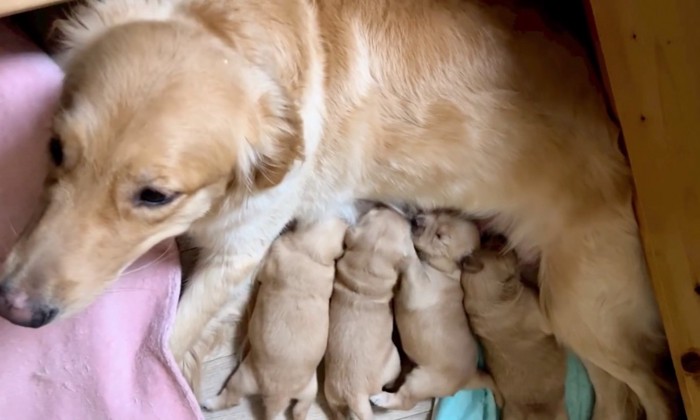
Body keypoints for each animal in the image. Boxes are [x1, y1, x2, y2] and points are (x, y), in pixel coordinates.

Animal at [200, 218, 348, 418]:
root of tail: (279, 397)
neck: (311, 253)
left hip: (242, 378)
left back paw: (209, 403)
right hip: (309, 390)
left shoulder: (274, 256)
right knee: (300, 410)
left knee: (232, 398)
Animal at [324, 208, 416, 420]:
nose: (408, 217)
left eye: (374, 212)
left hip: (332, 397)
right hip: (393, 360)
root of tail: (354, 394)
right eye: (406, 233)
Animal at [372, 210, 504, 410]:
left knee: (406, 400)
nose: (416, 219)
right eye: (441, 213)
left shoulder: (419, 288)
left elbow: (414, 262)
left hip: (422, 380)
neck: (446, 270)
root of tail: (467, 380)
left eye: (439, 236)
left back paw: (381, 399)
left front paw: (406, 242)